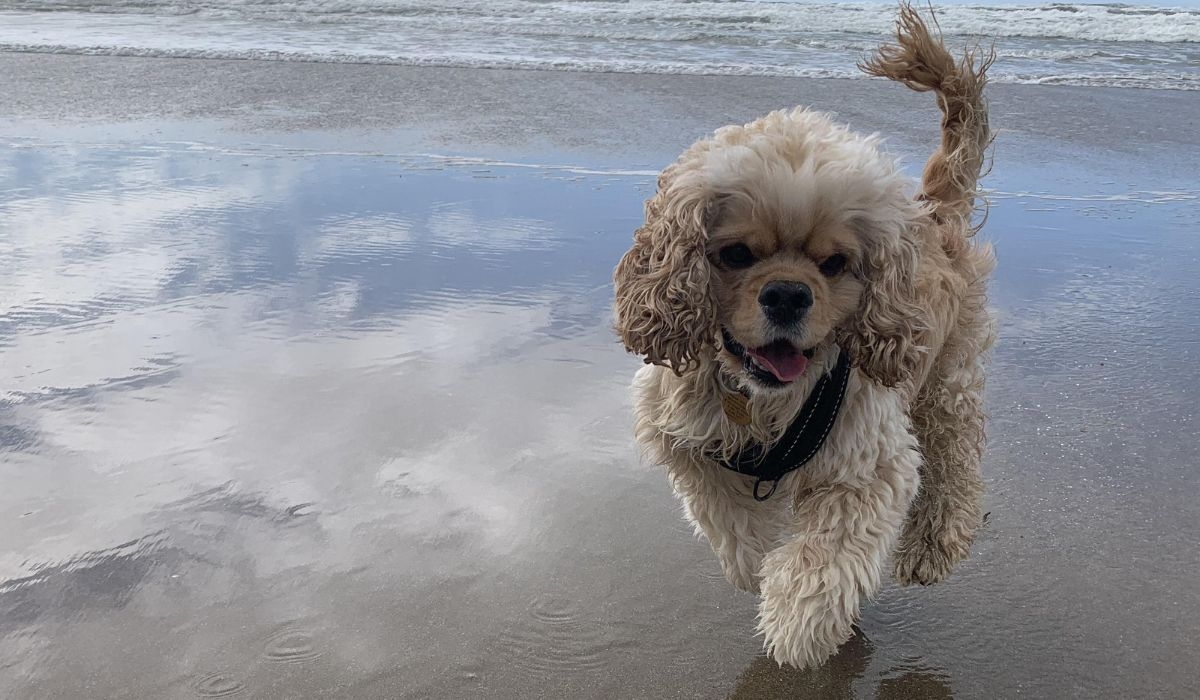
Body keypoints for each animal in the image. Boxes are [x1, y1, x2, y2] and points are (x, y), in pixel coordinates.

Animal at [609, 8, 993, 672]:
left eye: (834, 263)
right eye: (736, 254)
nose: (787, 294)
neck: (759, 399)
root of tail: (931, 213)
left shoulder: (866, 463)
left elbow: (825, 560)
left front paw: (796, 625)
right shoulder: (684, 438)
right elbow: (731, 525)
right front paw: (757, 569)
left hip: (946, 376)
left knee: (955, 462)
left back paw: (932, 546)